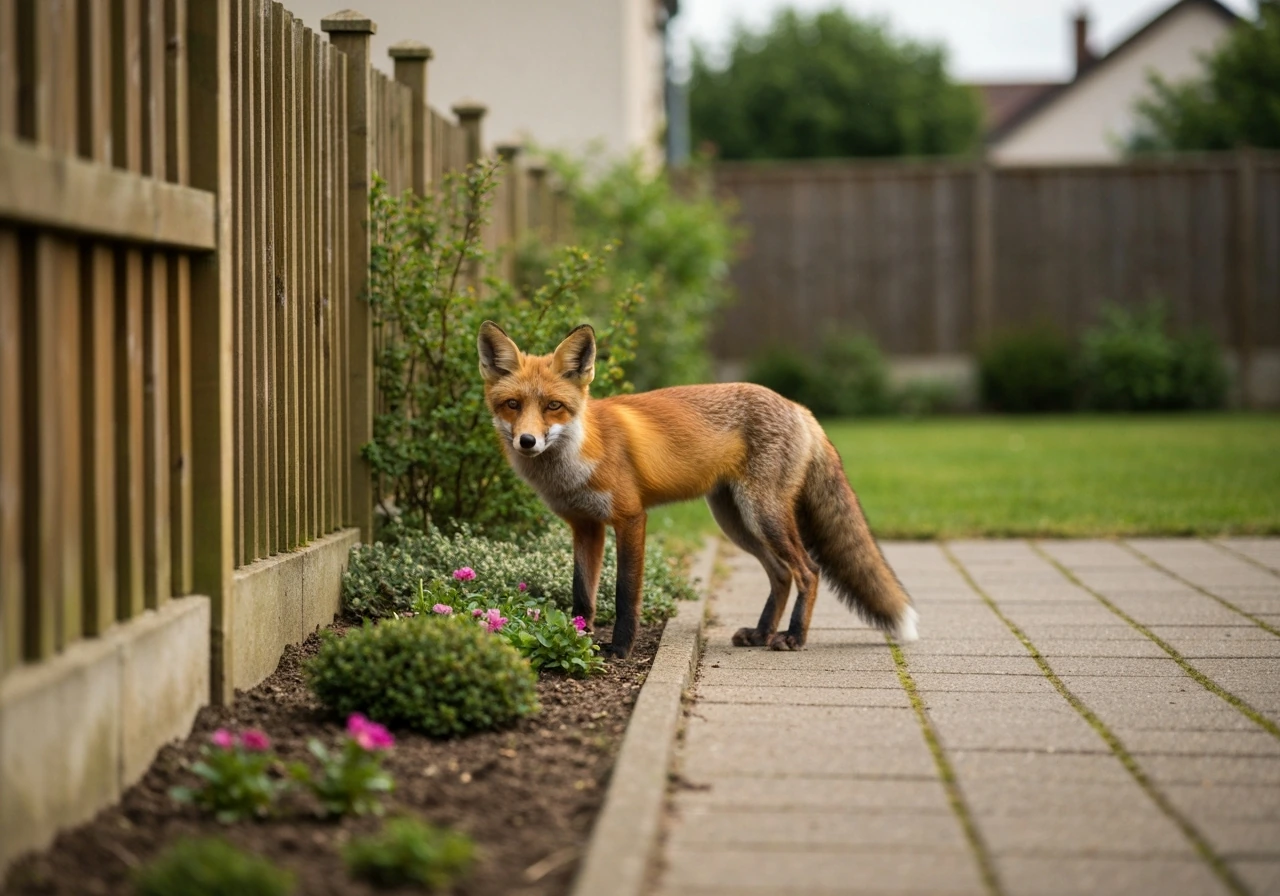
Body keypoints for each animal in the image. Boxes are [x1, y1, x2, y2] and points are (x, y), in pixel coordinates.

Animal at [477, 321, 918, 659]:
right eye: (512, 404)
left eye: (553, 406)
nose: (527, 441)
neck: (580, 455)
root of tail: (799, 407)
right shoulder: (585, 527)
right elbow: (582, 596)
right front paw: (575, 639)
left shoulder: (631, 518)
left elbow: (624, 593)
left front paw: (618, 650)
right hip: (736, 522)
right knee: (781, 574)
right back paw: (761, 633)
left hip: (764, 516)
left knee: (808, 571)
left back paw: (793, 636)